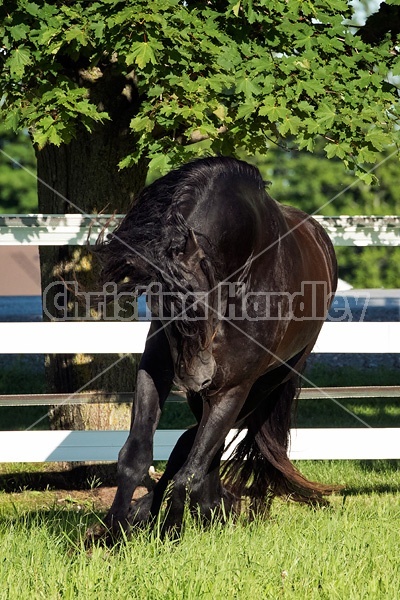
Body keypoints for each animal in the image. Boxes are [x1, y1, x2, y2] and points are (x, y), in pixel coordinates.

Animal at [90, 156, 338, 540]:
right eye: (157, 305)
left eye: (195, 302)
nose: (194, 377)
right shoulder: (157, 368)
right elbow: (135, 457)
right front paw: (114, 535)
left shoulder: (234, 387)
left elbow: (189, 473)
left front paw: (171, 536)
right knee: (195, 444)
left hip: (265, 384)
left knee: (203, 448)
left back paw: (207, 509)